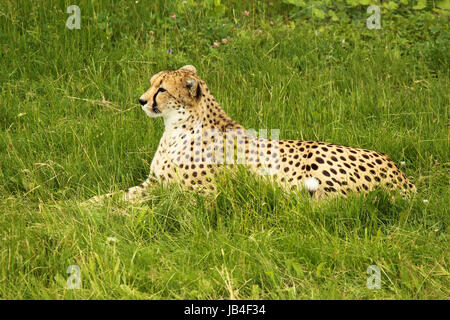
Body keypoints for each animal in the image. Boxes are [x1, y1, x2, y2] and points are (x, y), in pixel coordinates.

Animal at [89, 64, 416, 202]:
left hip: (321, 161)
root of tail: (401, 174)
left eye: (162, 89)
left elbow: (150, 204)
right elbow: (113, 196)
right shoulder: (154, 183)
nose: (142, 100)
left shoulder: (202, 194)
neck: (176, 127)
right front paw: (83, 208)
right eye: (151, 84)